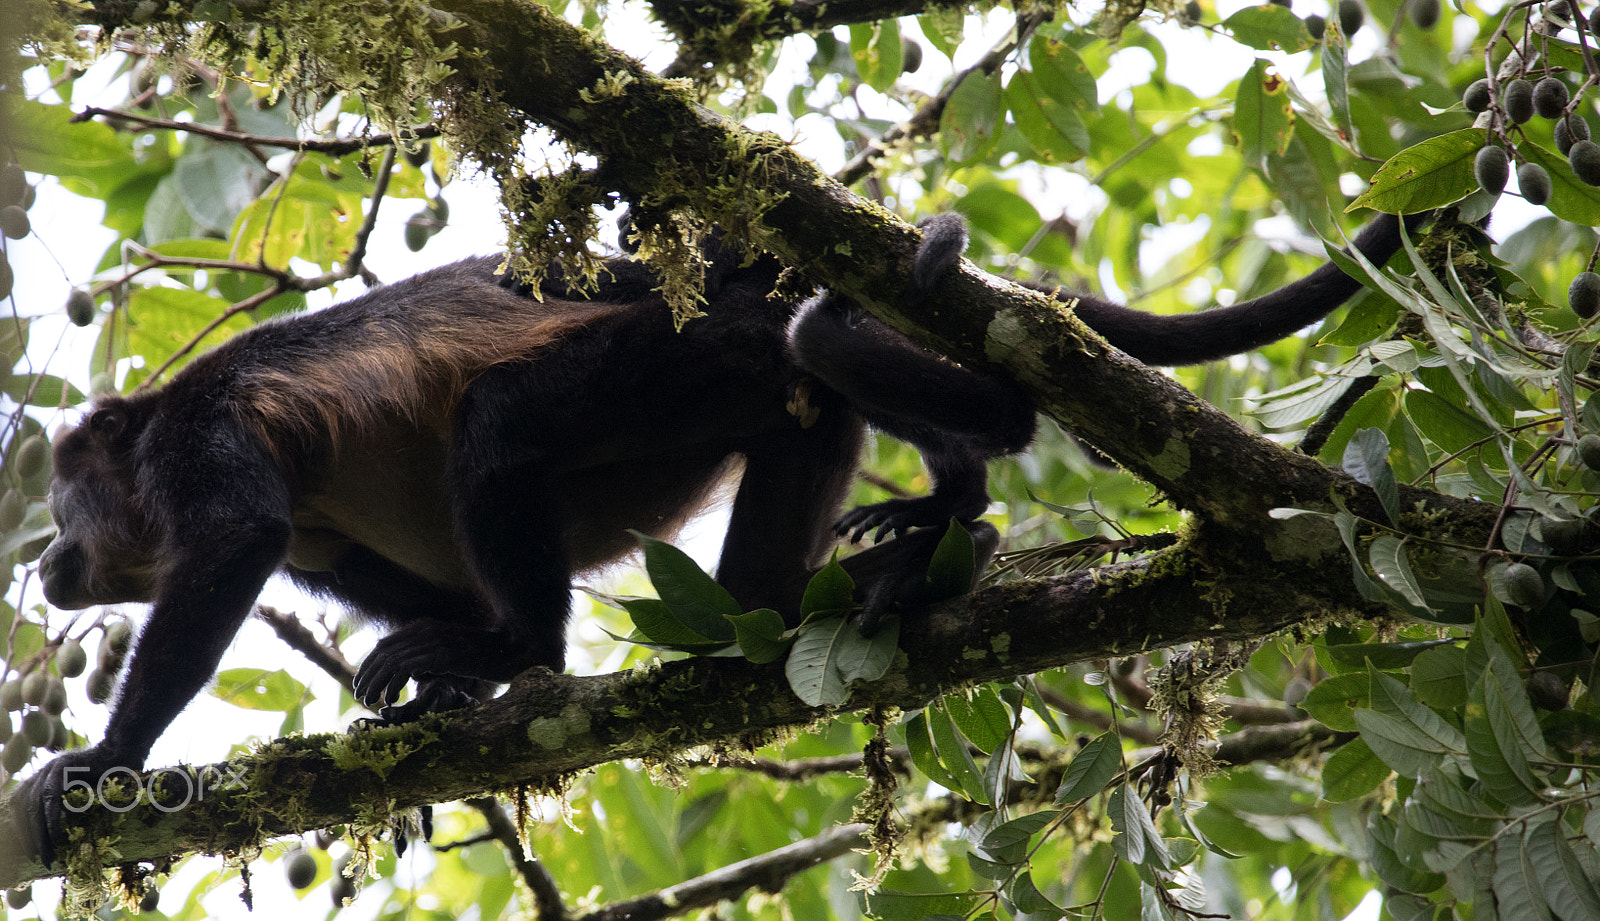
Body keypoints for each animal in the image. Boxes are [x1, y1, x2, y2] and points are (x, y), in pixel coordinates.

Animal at [15, 209, 1418, 863]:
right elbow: (376, 578)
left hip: (673, 347)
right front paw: (438, 667)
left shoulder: (198, 436)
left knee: (502, 426)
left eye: (63, 495)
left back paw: (534, 649)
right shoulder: (312, 539)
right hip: (749, 381)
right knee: (796, 450)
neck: (151, 437)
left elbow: (237, 545)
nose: (42, 558)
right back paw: (921, 539)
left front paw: (105, 762)